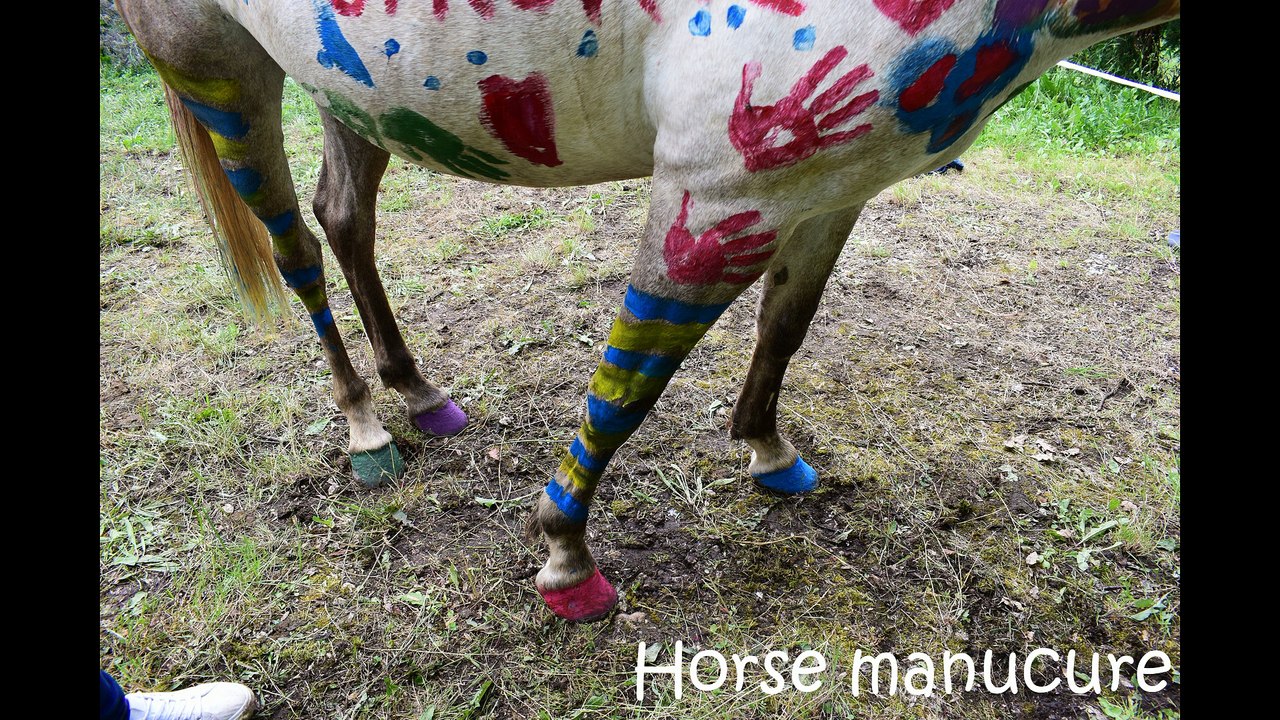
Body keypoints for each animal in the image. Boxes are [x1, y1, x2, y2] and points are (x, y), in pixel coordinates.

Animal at [116, 0, 1180, 621]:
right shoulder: (715, 194)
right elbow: (629, 386)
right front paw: (566, 559)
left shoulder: (832, 187)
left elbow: (786, 326)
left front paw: (768, 450)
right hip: (214, 61)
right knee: (295, 245)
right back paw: (366, 427)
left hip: (355, 86)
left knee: (345, 218)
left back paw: (417, 392)